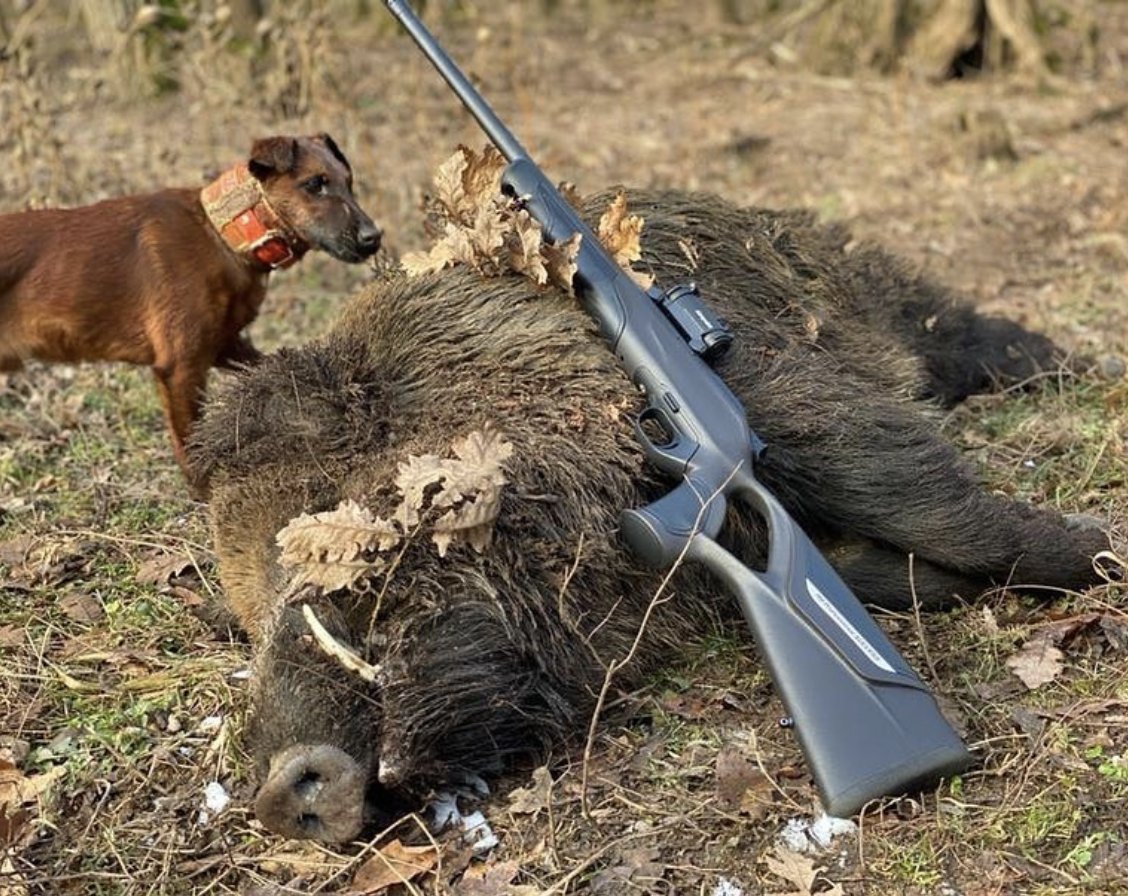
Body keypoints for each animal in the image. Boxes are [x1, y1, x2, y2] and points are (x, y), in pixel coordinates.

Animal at [190, 187, 1110, 843]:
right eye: (245, 612)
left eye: (310, 518)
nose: (278, 793)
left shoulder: (776, 396)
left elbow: (916, 492)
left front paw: (1098, 552)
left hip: (897, 305)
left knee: (963, 334)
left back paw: (1074, 365)